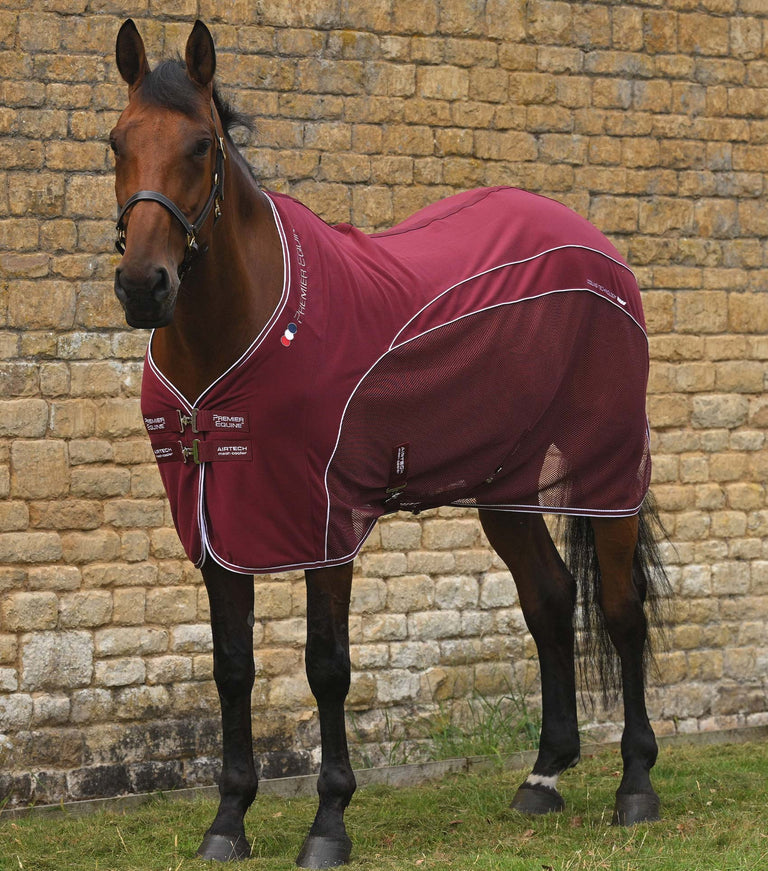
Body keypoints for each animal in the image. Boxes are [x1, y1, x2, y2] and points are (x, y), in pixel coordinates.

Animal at [111, 19, 668, 867]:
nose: (145, 286)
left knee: (619, 608)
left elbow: (326, 665)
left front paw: (328, 822)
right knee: (547, 598)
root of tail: (596, 247)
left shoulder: (323, 520)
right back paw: (543, 776)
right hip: (505, 485)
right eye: (116, 142)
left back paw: (635, 785)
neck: (243, 331)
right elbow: (232, 666)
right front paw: (228, 820)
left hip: (606, 476)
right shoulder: (215, 522)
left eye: (201, 145)